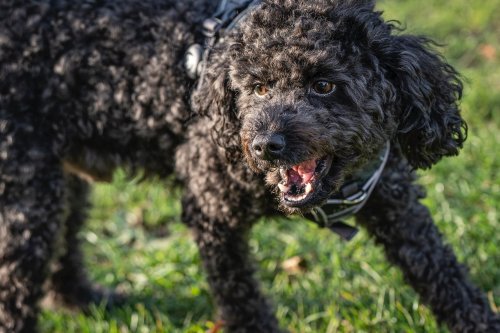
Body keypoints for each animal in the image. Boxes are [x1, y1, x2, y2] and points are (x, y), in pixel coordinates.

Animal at [0, 0, 498, 330]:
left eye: (324, 85)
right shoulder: (210, 209)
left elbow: (445, 277)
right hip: (27, 188)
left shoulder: (397, 206)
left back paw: (81, 299)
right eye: (257, 88)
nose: (264, 146)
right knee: (16, 283)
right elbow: (239, 296)